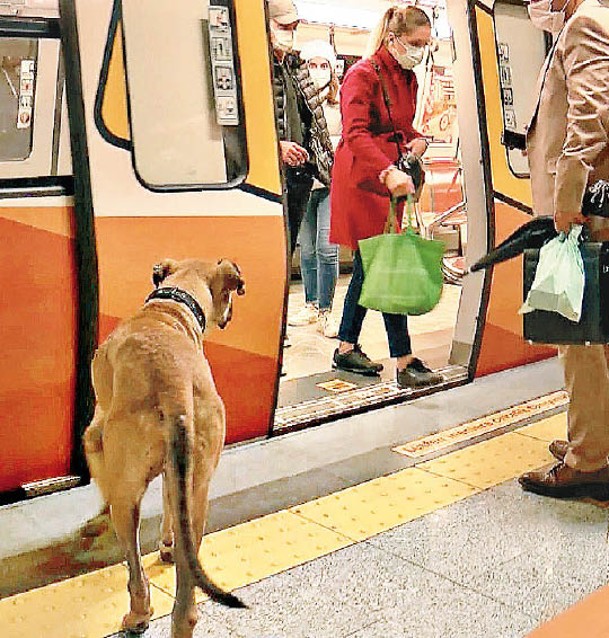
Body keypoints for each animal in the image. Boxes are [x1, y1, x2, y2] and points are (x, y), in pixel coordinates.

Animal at [82, 258, 246, 636]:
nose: (231, 315)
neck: (170, 308)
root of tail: (176, 391)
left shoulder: (95, 435)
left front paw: (96, 521)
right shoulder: (179, 477)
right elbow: (171, 505)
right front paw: (167, 545)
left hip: (128, 498)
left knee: (135, 572)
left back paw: (138, 614)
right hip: (197, 492)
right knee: (186, 606)